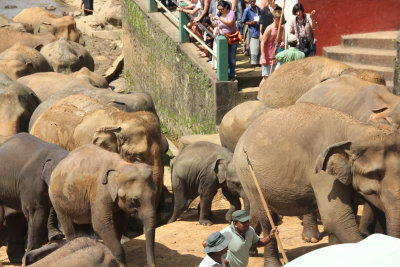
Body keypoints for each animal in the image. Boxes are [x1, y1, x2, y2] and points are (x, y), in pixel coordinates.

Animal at [234, 102, 400, 266]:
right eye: (375, 174)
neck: (355, 128)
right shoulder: (322, 172)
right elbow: (337, 219)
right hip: (248, 175)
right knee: (266, 218)